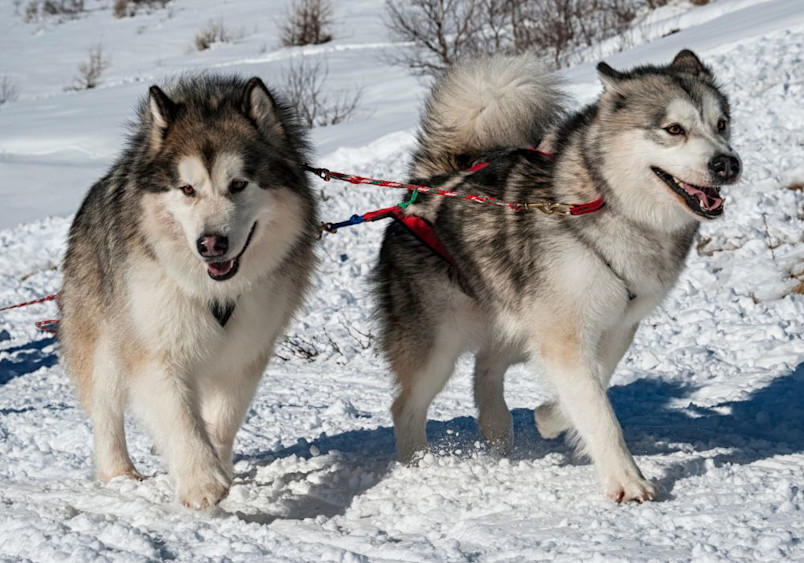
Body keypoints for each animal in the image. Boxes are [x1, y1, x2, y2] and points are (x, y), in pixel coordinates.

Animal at [60, 75, 318, 512]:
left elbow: (221, 420)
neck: (213, 290)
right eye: (187, 189)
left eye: (238, 184)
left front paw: (219, 465)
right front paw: (202, 481)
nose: (210, 244)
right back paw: (119, 473)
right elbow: (180, 418)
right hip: (105, 337)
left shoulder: (245, 352)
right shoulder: (156, 348)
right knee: (106, 409)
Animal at [376, 51, 740, 502]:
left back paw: (497, 430)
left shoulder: (617, 324)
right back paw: (418, 465)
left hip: (516, 322)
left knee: (486, 367)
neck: (611, 204)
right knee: (407, 405)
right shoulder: (563, 333)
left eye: (721, 124)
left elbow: (597, 378)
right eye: (674, 129)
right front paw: (626, 480)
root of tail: (425, 186)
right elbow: (598, 410)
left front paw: (550, 417)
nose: (727, 164)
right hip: (440, 344)